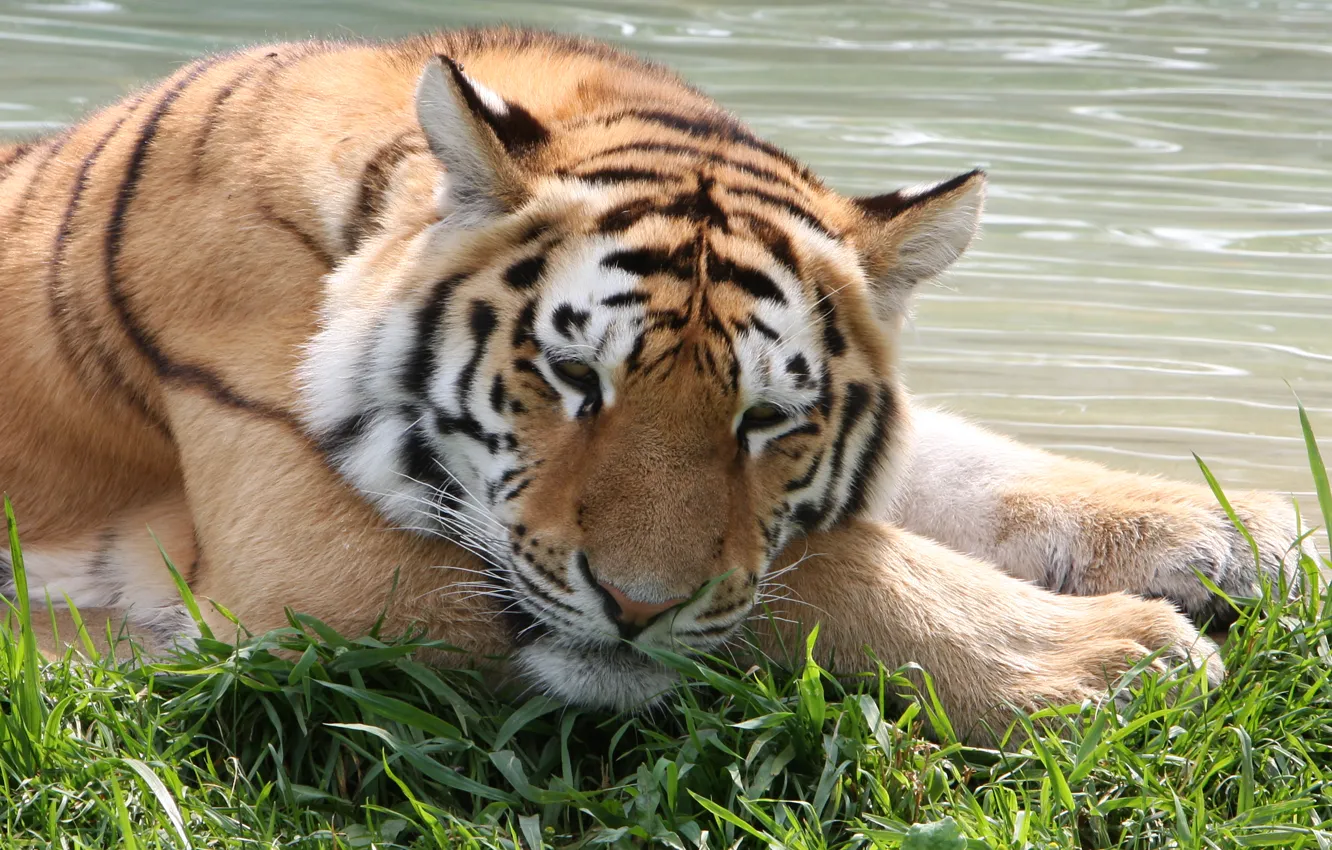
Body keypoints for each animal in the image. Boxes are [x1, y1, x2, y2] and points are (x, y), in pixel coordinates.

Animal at [0, 27, 1307, 740]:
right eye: (574, 376)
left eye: (768, 417)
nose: (634, 608)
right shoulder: (308, 564)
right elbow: (822, 571)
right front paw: (1124, 659)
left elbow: (951, 468)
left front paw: (1244, 533)